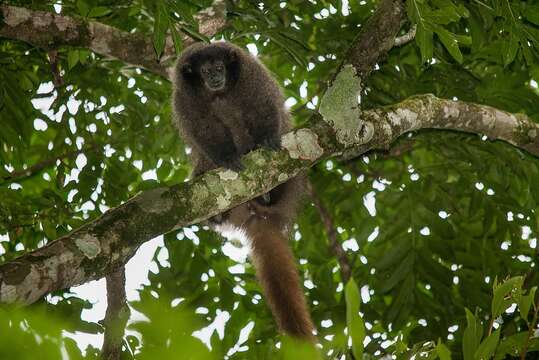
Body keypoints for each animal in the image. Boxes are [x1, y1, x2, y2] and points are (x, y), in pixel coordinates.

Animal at [172, 42, 316, 340]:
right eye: (205, 72)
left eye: (219, 67)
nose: (216, 77)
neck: (219, 93)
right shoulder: (184, 97)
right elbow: (204, 132)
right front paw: (227, 158)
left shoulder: (251, 75)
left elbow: (263, 107)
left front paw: (266, 140)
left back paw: (269, 192)